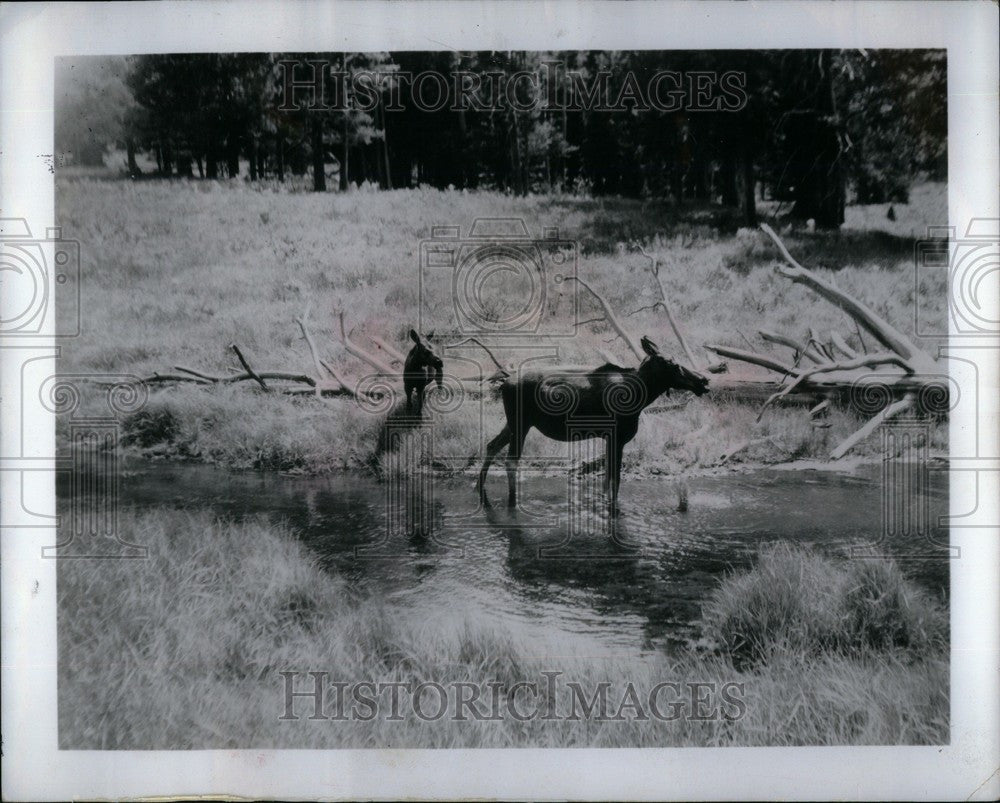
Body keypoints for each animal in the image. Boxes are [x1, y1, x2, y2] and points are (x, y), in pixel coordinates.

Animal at [476, 336, 712, 512]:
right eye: (672, 363)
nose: (704, 380)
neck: (642, 395)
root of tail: (504, 382)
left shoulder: (609, 439)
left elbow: (607, 480)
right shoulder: (618, 437)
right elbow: (614, 480)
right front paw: (613, 508)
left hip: (513, 424)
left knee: (491, 445)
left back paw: (479, 487)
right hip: (521, 424)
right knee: (510, 461)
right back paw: (513, 502)